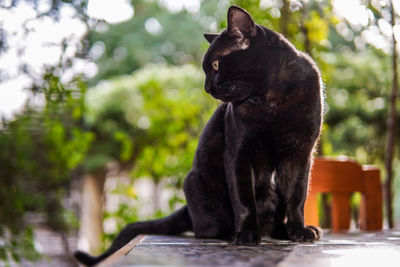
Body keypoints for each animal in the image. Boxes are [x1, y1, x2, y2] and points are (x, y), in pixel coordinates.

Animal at [75, 5, 324, 266]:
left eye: (214, 65)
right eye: (207, 69)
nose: (207, 87)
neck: (270, 100)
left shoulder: (300, 155)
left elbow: (297, 197)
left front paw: (299, 231)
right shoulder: (238, 153)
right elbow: (244, 199)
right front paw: (246, 234)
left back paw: (288, 231)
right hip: (196, 183)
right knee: (205, 229)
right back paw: (231, 233)